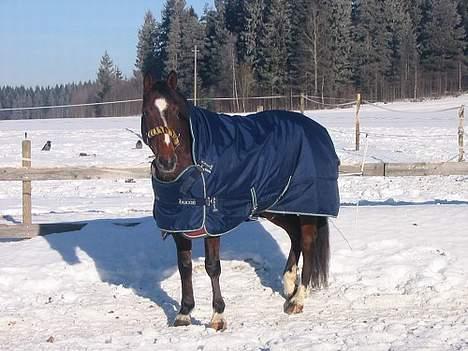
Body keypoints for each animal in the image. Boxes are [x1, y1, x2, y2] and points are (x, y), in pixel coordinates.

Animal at [140, 71, 340, 330]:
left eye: (176, 111)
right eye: (146, 112)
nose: (167, 161)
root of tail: (317, 130)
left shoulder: (213, 224)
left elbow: (212, 267)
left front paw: (218, 316)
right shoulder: (179, 225)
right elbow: (185, 268)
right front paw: (184, 313)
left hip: (306, 207)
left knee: (307, 242)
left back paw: (298, 299)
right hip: (276, 207)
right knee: (295, 236)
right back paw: (289, 284)